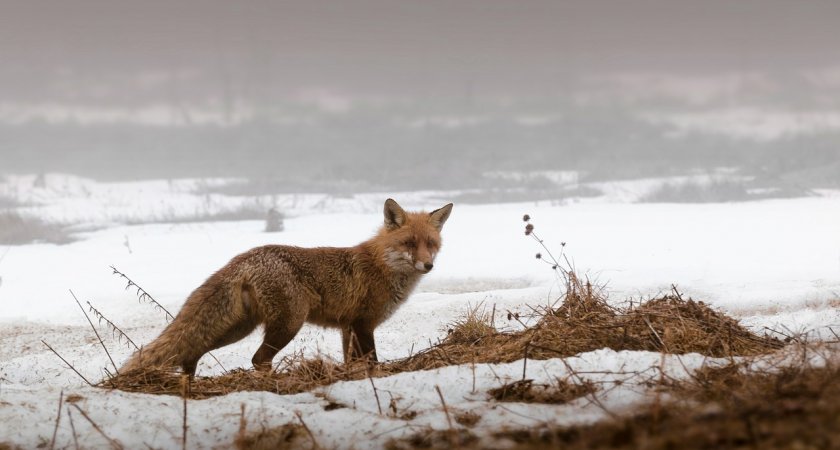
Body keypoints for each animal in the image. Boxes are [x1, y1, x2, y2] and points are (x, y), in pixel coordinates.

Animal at [120, 199, 452, 374]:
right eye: (409, 243)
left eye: (431, 244)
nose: (428, 266)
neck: (383, 265)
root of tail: (245, 257)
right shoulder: (363, 323)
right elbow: (371, 360)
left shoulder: (347, 327)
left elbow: (351, 362)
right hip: (289, 323)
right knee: (257, 359)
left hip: (239, 327)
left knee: (193, 350)